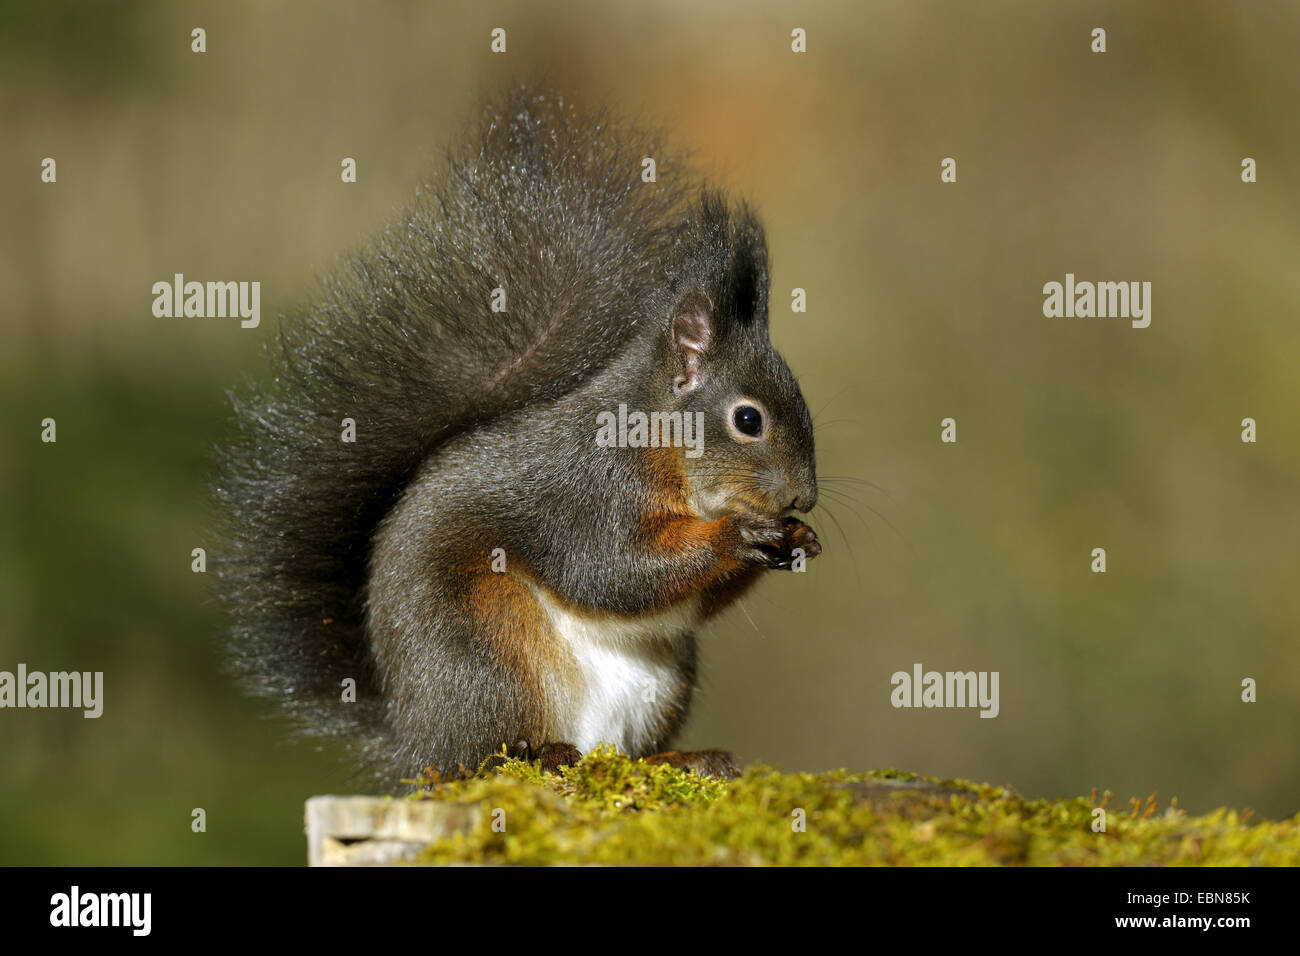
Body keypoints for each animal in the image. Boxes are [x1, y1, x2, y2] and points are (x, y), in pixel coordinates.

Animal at [213, 85, 821, 785]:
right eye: (748, 419)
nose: (803, 498)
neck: (655, 441)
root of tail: (412, 740)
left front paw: (796, 541)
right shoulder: (588, 490)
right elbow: (613, 569)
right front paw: (740, 534)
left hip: (660, 683)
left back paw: (684, 757)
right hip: (487, 654)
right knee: (480, 755)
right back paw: (538, 753)